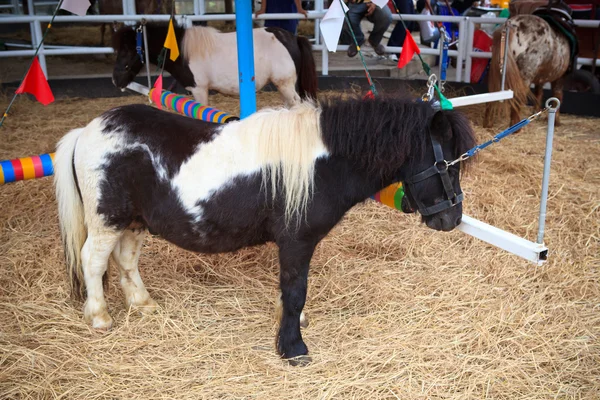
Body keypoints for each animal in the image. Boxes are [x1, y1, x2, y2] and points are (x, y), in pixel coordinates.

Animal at [55, 95, 478, 364]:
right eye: (446, 164)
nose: (451, 219)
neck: (323, 162)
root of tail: (87, 130)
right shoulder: (296, 240)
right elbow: (295, 290)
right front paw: (293, 348)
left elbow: (290, 291)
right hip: (107, 221)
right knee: (92, 261)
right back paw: (99, 317)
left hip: (134, 223)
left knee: (126, 260)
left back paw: (142, 305)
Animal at [112, 22, 318, 105]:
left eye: (128, 50)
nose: (115, 80)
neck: (183, 52)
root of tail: (294, 38)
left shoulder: (199, 90)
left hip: (285, 86)